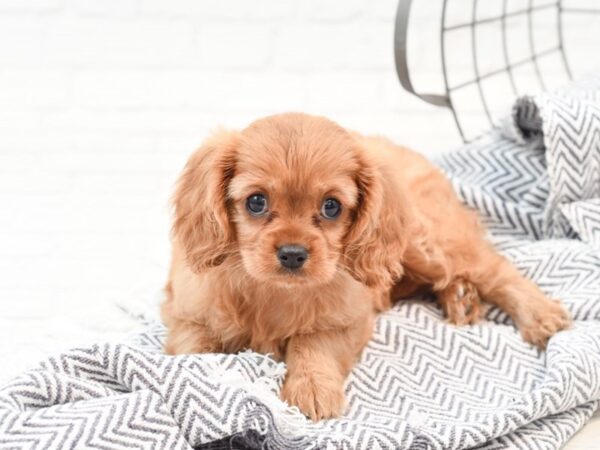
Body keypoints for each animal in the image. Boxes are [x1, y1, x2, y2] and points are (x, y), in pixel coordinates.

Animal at [162, 111, 568, 418]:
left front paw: (312, 388)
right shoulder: (186, 313)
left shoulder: (348, 320)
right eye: (256, 202)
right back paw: (462, 298)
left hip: (429, 244)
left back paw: (540, 314)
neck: (273, 293)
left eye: (331, 206)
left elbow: (312, 343)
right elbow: (191, 350)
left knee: (495, 269)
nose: (292, 253)